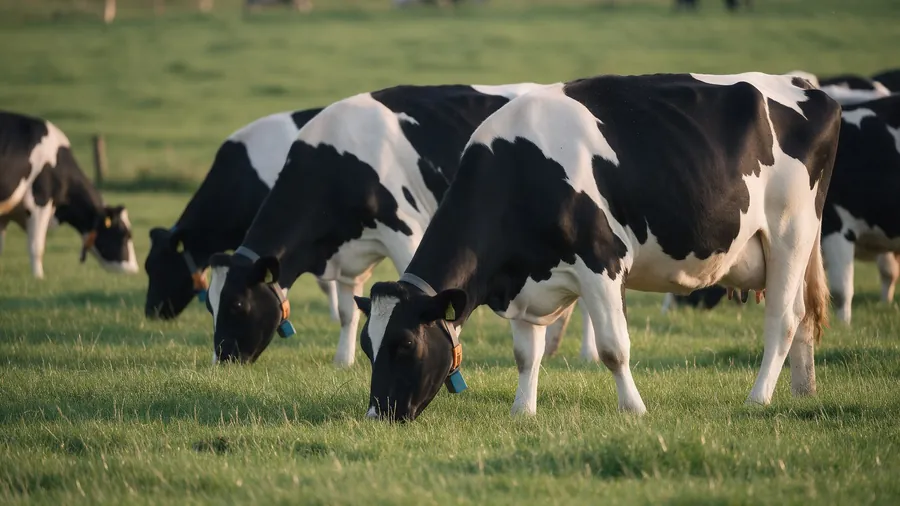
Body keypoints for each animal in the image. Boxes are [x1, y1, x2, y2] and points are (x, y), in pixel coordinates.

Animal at [0, 111, 138, 278]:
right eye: (124, 234)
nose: (135, 269)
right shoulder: (40, 201)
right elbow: (36, 246)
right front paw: (38, 278)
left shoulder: (5, 215)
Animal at [207, 83, 592, 368]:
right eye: (209, 306)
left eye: (236, 304)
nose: (222, 358)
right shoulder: (348, 253)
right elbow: (347, 312)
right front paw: (343, 361)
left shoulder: (406, 231)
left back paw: (586, 353)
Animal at [353, 72, 840, 422]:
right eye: (367, 346)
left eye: (404, 343)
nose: (378, 415)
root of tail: (805, 87)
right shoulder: (521, 282)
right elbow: (526, 354)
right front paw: (522, 412)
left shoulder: (602, 262)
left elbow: (612, 347)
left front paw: (634, 409)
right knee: (801, 317)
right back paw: (804, 391)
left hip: (791, 232)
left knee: (782, 320)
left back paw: (758, 398)